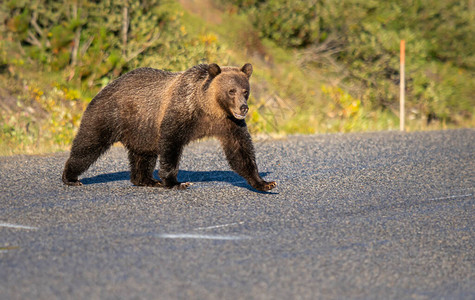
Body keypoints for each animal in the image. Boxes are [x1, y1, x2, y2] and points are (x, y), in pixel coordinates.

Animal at [63, 62, 278, 191]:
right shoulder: (183, 111)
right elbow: (171, 143)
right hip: (110, 114)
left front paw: (265, 183)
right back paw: (71, 177)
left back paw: (146, 180)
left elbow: (241, 151)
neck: (209, 108)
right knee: (89, 143)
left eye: (245, 90)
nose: (243, 107)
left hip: (142, 128)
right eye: (231, 90)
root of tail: (104, 87)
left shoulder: (229, 123)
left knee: (143, 154)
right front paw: (176, 182)